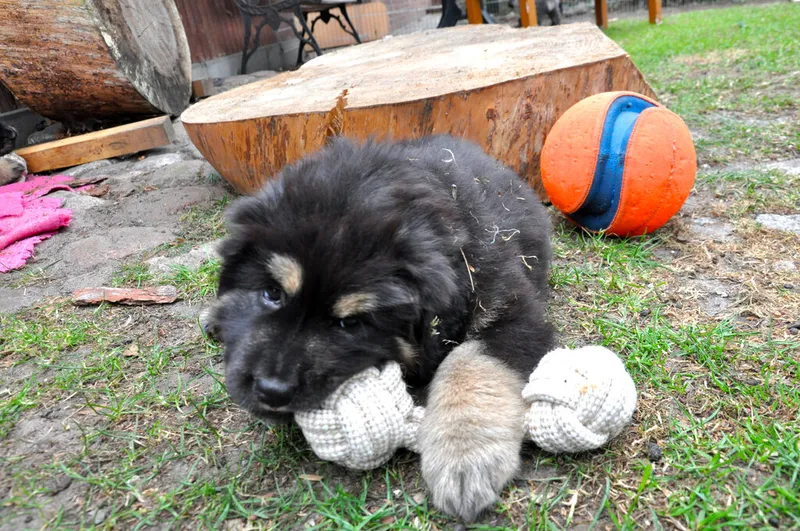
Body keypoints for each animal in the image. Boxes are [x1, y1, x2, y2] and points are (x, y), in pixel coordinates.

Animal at [203, 135, 556, 522]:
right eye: (272, 293)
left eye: (350, 323)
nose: (271, 390)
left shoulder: (513, 314)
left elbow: (471, 365)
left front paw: (464, 455)